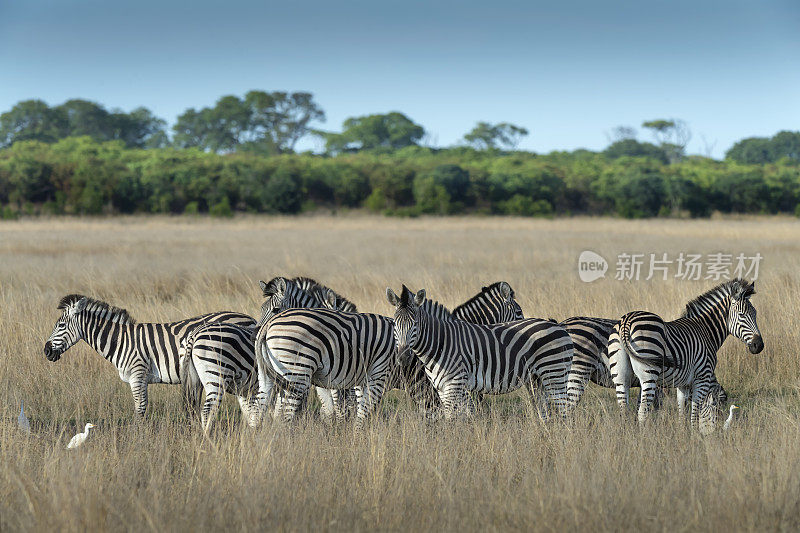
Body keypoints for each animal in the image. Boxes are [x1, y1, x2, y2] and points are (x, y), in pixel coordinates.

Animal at [43, 296, 253, 416]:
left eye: (61, 326)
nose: (46, 351)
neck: (121, 341)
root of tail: (249, 318)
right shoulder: (141, 379)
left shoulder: (138, 375)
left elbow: (140, 408)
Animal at [255, 308, 396, 428]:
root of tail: (268, 324)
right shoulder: (378, 373)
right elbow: (363, 408)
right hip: (296, 371)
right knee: (285, 416)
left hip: (266, 373)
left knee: (259, 406)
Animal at [384, 284, 572, 418]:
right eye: (395, 323)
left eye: (415, 324)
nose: (403, 357)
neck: (439, 344)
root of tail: (557, 326)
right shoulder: (443, 389)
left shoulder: (457, 386)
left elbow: (459, 418)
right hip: (538, 379)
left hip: (554, 373)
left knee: (564, 411)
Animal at [608, 278, 764, 432]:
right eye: (742, 315)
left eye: (755, 314)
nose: (759, 345)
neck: (706, 331)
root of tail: (626, 320)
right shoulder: (702, 377)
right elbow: (695, 412)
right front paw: (695, 435)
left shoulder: (683, 383)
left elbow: (682, 412)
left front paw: (682, 433)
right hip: (649, 374)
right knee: (642, 412)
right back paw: (643, 437)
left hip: (620, 375)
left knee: (624, 409)